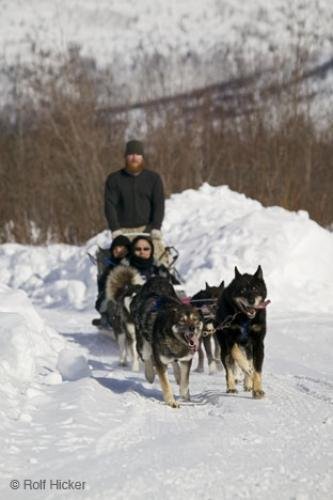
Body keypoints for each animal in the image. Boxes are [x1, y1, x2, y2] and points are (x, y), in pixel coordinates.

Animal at [132, 276, 202, 408]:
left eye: (195, 319)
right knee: (147, 357)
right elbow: (165, 383)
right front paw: (171, 401)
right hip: (144, 345)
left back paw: (178, 375)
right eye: (182, 321)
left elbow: (185, 381)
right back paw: (150, 374)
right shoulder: (160, 361)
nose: (192, 328)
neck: (176, 341)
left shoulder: (186, 359)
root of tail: (156, 278)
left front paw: (185, 394)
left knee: (174, 364)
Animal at [215, 266, 270, 398]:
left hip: (248, 347)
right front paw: (247, 370)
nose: (251, 300)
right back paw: (231, 386)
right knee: (229, 366)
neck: (245, 319)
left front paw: (257, 390)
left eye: (255, 288)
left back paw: (248, 383)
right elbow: (237, 356)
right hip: (224, 347)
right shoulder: (231, 339)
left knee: (248, 360)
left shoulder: (258, 343)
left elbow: (257, 369)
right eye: (243, 290)